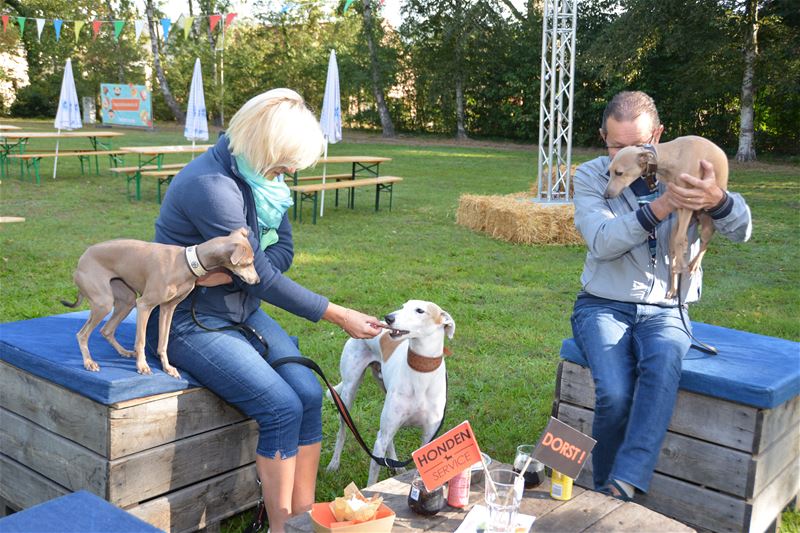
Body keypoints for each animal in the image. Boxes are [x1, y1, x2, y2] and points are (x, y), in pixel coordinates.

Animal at [324, 300, 450, 486]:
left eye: (420, 310)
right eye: (403, 306)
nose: (389, 318)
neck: (420, 374)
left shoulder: (429, 436)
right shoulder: (380, 440)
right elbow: (373, 479)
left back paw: (396, 466)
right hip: (348, 393)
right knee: (343, 431)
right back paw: (334, 463)